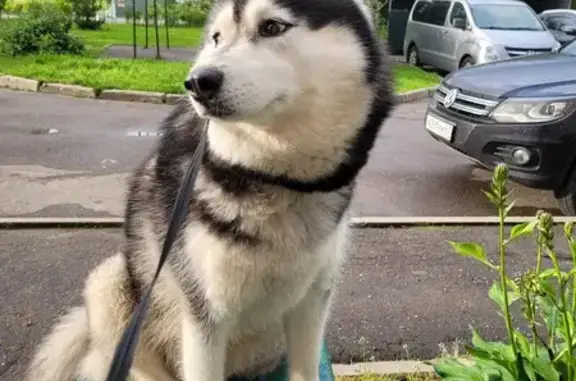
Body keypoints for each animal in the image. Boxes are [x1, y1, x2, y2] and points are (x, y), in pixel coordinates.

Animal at [24, 0, 394, 380]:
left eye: (272, 27)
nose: (197, 82)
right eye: (217, 37)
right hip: (110, 284)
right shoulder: (205, 317)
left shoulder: (313, 301)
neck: (272, 177)